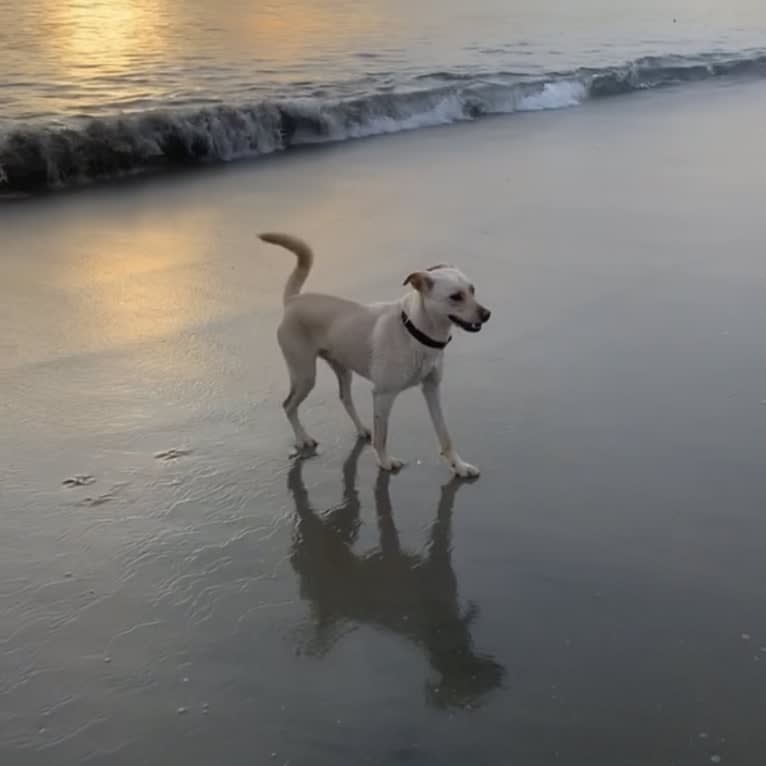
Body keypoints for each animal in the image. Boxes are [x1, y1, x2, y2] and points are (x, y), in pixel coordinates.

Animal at [262, 231, 492, 476]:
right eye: (455, 296)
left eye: (472, 290)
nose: (487, 314)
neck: (415, 331)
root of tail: (293, 300)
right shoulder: (383, 395)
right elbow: (382, 437)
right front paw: (385, 462)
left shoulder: (431, 389)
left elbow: (445, 434)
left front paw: (459, 466)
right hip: (304, 374)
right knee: (288, 405)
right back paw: (303, 438)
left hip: (342, 368)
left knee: (345, 397)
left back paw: (362, 428)